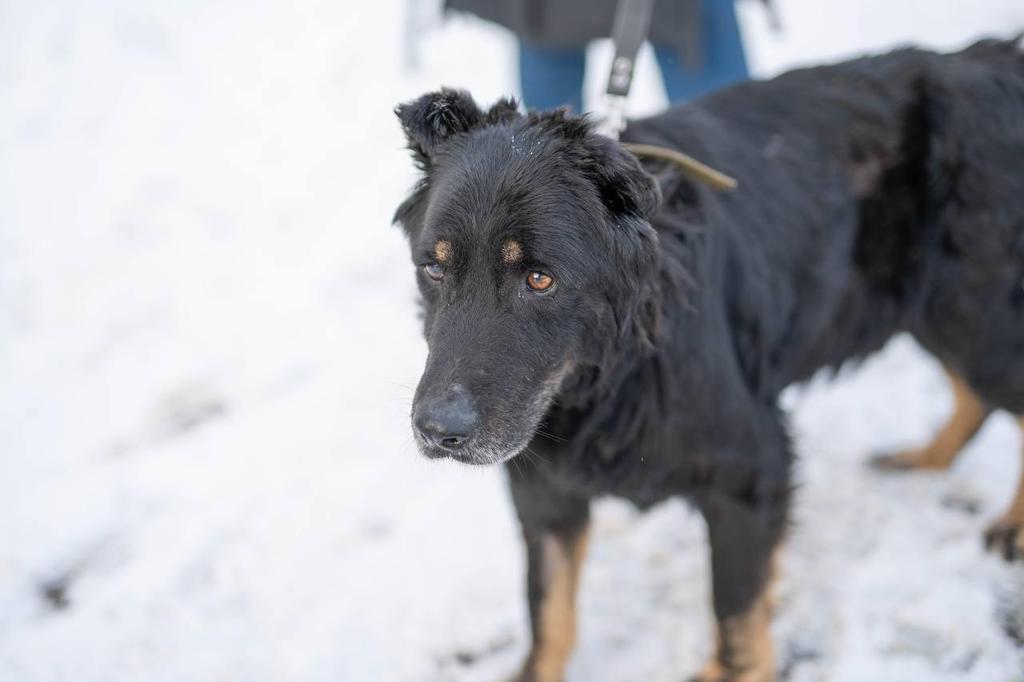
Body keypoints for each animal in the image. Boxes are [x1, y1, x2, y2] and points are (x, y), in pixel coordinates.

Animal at [391, 41, 1024, 679]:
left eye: (540, 279)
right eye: (434, 268)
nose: (439, 432)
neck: (617, 370)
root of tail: (991, 57)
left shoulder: (751, 475)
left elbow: (737, 624)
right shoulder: (545, 491)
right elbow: (549, 613)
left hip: (973, 319)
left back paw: (1011, 527)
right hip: (946, 318)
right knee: (976, 398)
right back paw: (926, 458)